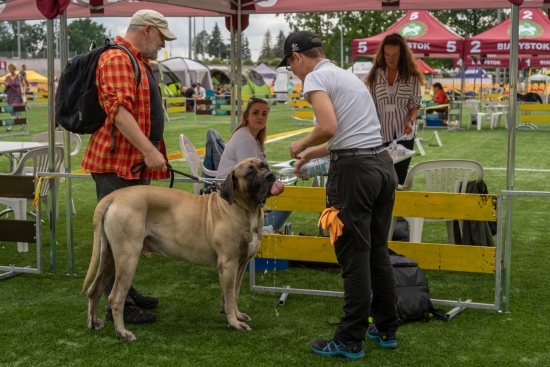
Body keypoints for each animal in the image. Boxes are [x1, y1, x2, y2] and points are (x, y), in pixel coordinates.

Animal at [85, 158, 288, 342]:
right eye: (250, 172)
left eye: (265, 165)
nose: (271, 176)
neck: (243, 208)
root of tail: (113, 197)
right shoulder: (229, 264)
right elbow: (230, 296)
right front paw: (234, 323)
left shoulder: (240, 265)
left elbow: (234, 294)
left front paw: (236, 315)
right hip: (128, 258)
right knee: (115, 298)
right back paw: (122, 333)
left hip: (109, 257)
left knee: (94, 290)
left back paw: (94, 323)